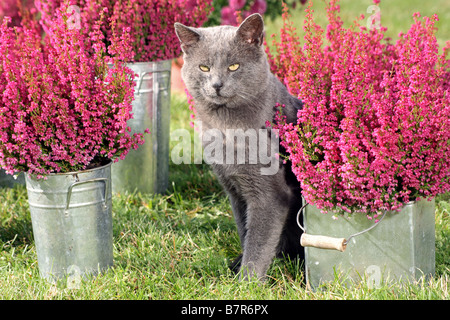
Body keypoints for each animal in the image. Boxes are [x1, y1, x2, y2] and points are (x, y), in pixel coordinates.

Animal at [174, 13, 304, 278]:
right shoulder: (234, 190)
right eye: (204, 67)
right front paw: (241, 269)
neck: (224, 127)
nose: (217, 84)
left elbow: (258, 241)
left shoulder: (269, 194)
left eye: (233, 66)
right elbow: (245, 231)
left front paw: (247, 280)